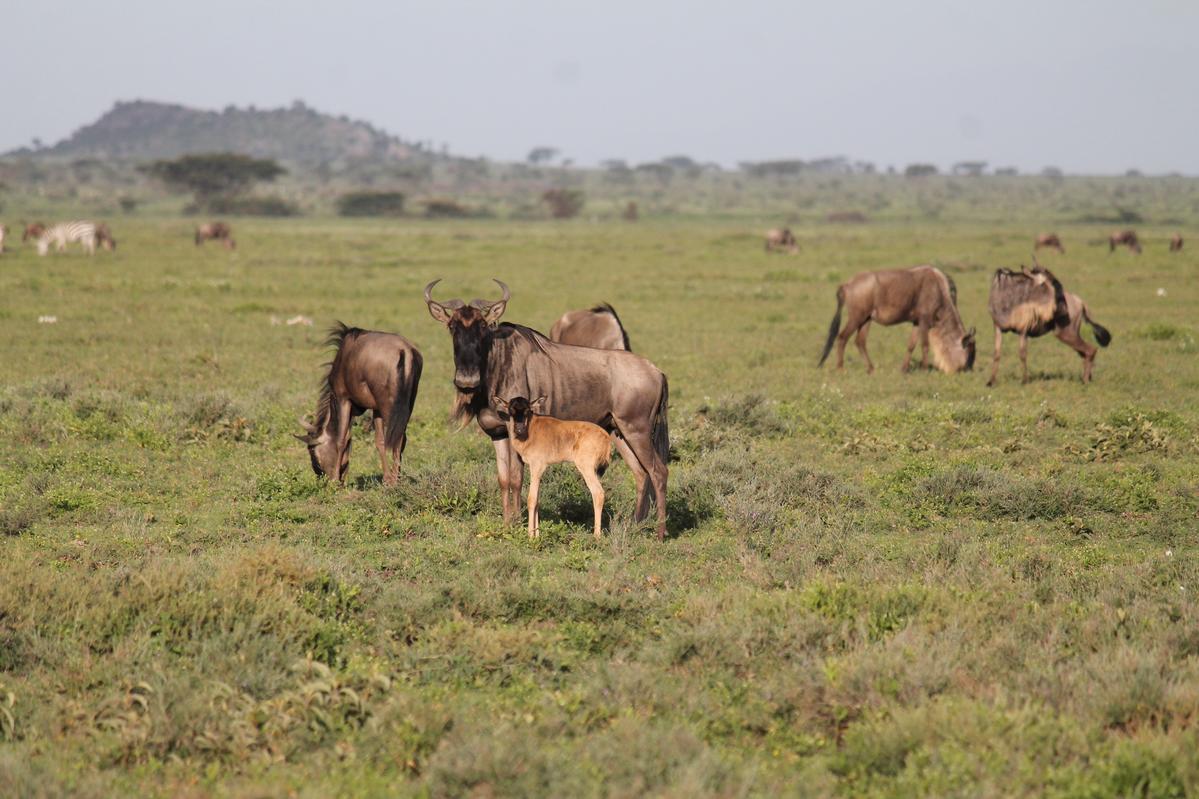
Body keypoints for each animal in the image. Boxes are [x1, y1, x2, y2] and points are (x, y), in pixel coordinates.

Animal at [297, 321, 424, 482]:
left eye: (312, 452)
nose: (322, 479)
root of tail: (405, 350)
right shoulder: (375, 409)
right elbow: (378, 441)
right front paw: (385, 478)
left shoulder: (343, 399)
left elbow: (341, 439)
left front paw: (335, 480)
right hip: (407, 404)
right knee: (401, 437)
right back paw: (397, 477)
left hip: (389, 406)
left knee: (398, 437)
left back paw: (395, 479)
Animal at [491, 395, 613, 537]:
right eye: (511, 410)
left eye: (527, 410)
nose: (519, 429)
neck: (532, 428)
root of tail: (606, 438)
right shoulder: (539, 470)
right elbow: (537, 500)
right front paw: (537, 536)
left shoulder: (536, 466)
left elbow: (531, 499)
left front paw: (530, 536)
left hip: (586, 468)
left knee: (598, 493)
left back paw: (596, 536)